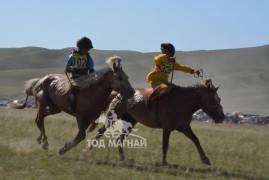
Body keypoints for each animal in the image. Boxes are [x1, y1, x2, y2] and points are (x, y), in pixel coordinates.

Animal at [87, 79, 223, 165]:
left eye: (219, 99)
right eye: (212, 98)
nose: (221, 117)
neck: (181, 102)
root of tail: (117, 93)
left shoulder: (184, 127)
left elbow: (196, 140)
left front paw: (205, 159)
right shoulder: (167, 128)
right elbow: (165, 145)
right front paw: (164, 163)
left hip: (130, 121)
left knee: (120, 139)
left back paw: (122, 158)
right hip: (113, 117)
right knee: (100, 132)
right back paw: (87, 151)